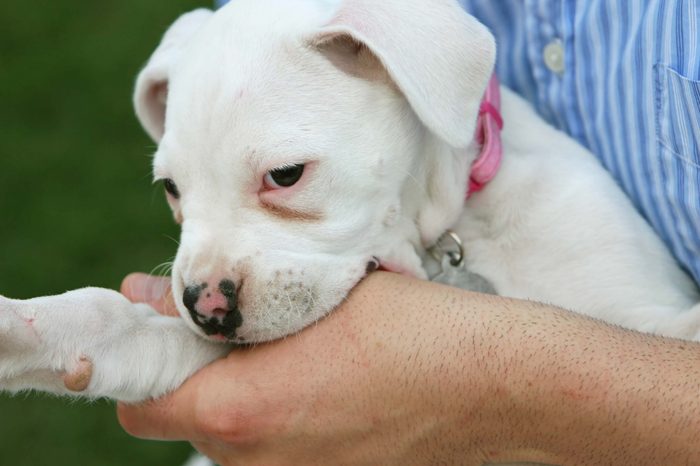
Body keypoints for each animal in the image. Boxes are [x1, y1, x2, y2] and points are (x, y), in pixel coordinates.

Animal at [1, 0, 700, 404]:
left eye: (285, 176)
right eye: (172, 189)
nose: (204, 308)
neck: (445, 244)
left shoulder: (643, 310)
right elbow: (117, 325)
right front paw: (25, 328)